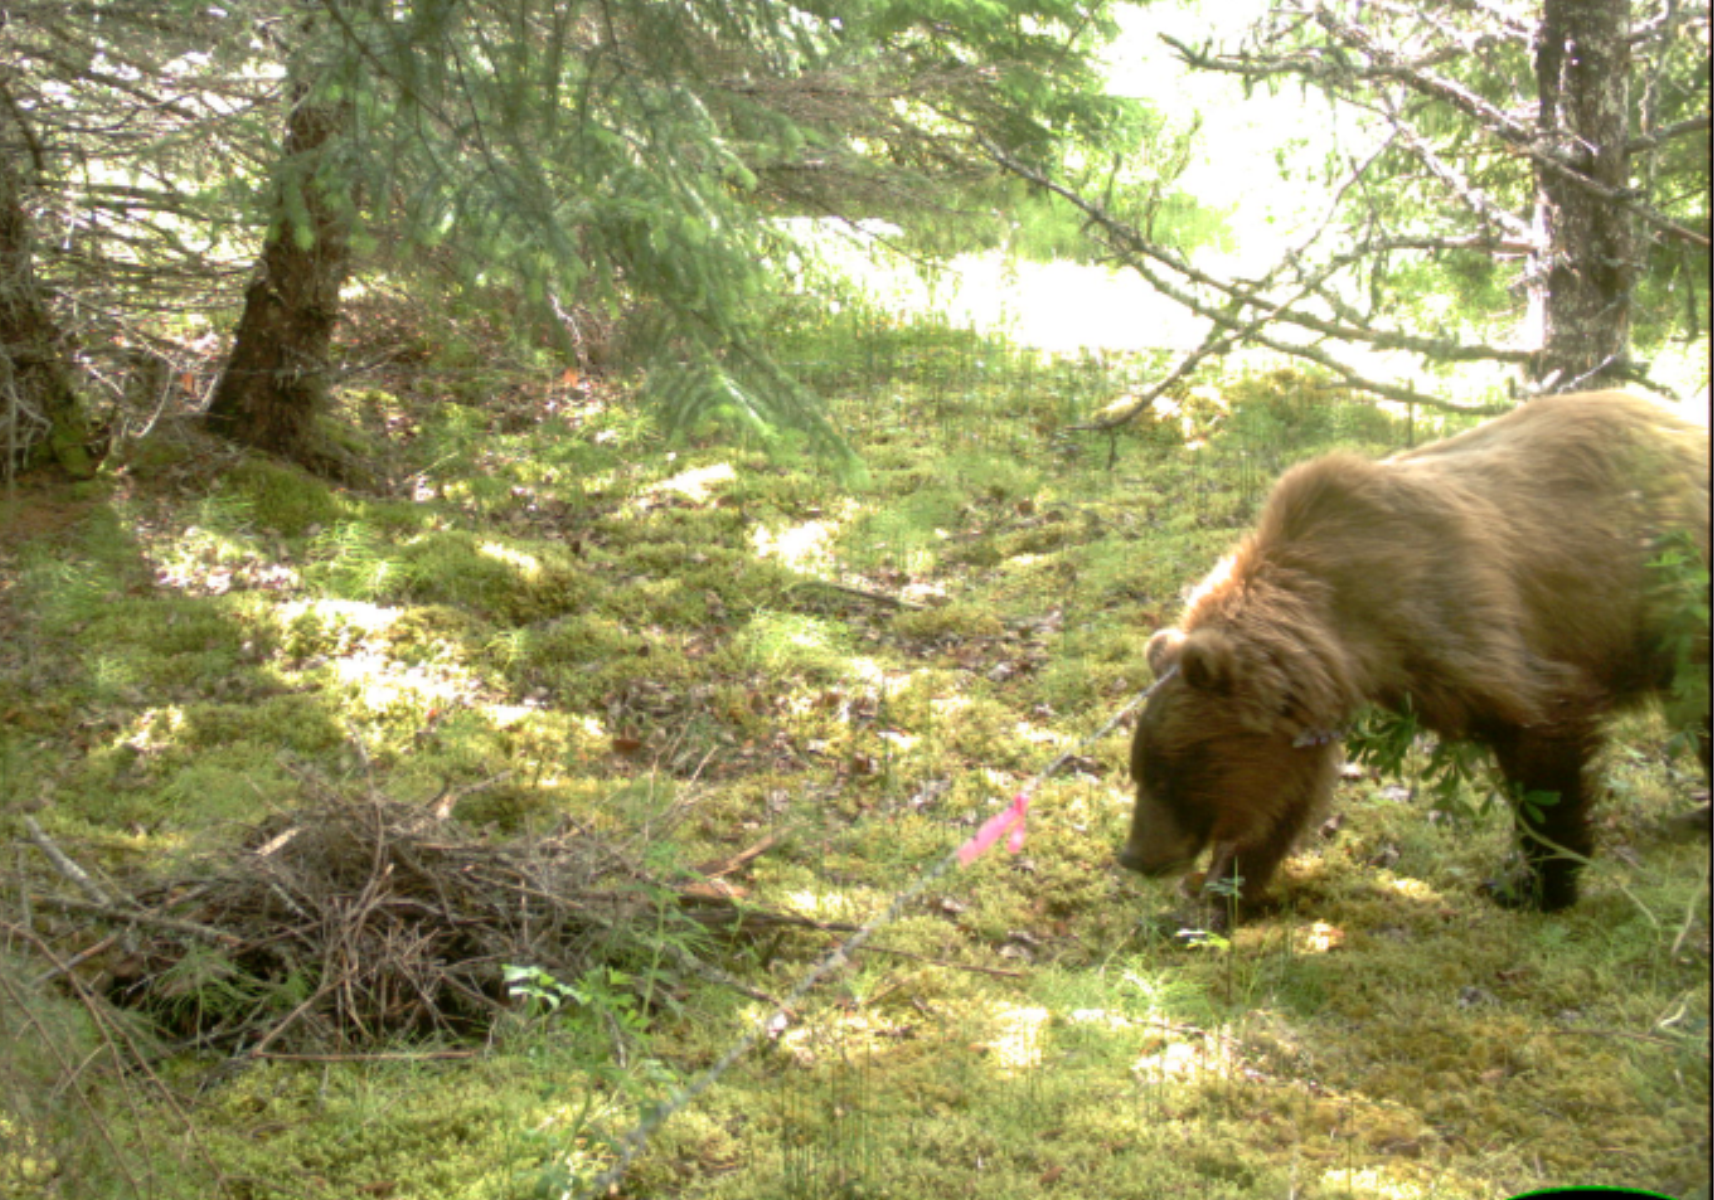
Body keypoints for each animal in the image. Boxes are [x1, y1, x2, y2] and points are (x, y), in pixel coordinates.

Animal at [1117, 389, 1707, 925]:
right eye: (1140, 769)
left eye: (1169, 777)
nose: (1134, 857)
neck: (1350, 623)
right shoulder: (1311, 706)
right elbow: (1282, 796)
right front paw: (1213, 905)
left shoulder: (1455, 621)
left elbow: (1543, 731)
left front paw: (1535, 885)